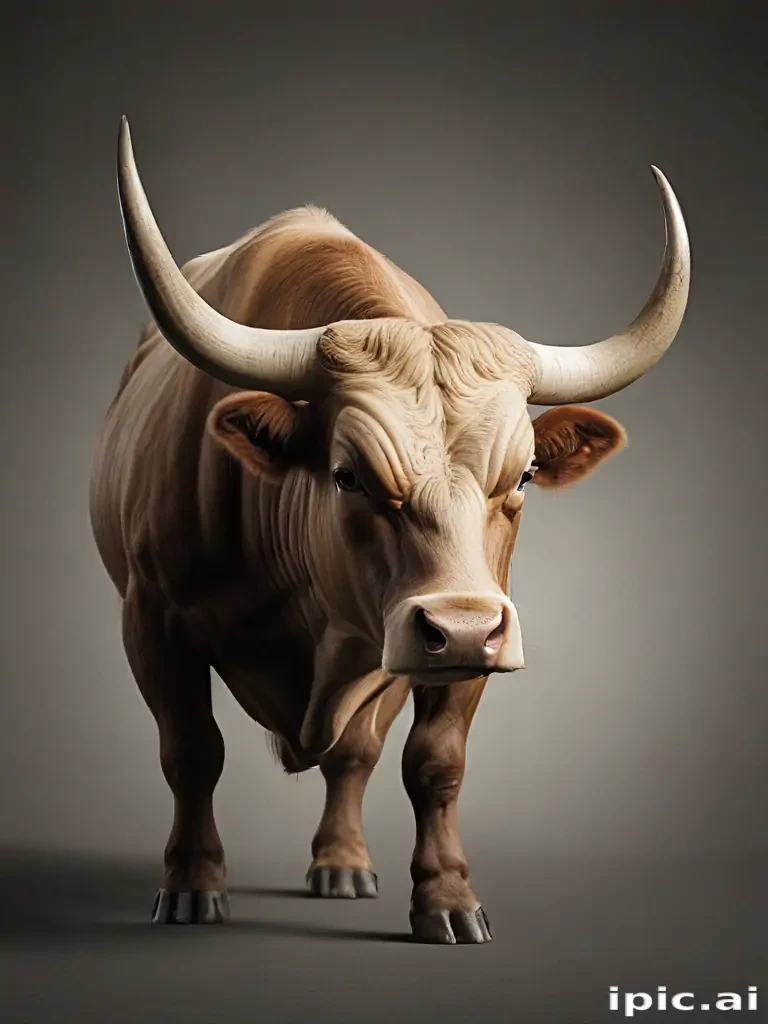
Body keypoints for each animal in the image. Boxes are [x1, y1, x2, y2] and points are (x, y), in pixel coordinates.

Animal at [89, 116, 690, 944]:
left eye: (524, 476)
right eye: (348, 476)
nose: (461, 627)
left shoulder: (472, 631)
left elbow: (433, 763)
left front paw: (447, 899)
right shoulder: (151, 619)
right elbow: (191, 753)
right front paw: (190, 885)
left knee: (355, 753)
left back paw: (342, 865)